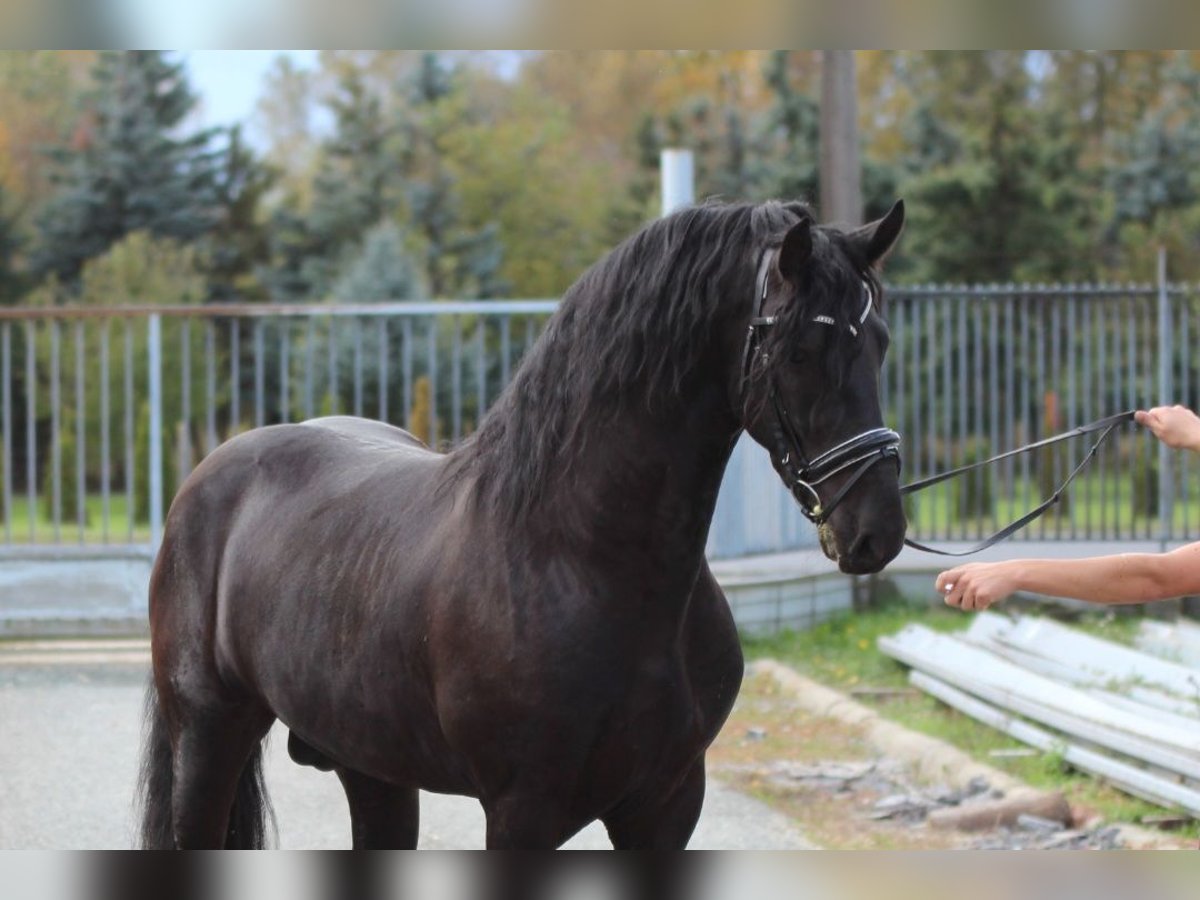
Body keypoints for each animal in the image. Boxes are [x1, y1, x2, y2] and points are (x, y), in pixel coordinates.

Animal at [138, 195, 907, 844]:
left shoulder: (667, 804)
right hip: (209, 738)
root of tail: (209, 475)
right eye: (800, 351)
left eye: (880, 341)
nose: (878, 529)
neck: (582, 558)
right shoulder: (524, 812)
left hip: (374, 769)